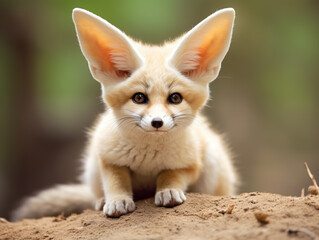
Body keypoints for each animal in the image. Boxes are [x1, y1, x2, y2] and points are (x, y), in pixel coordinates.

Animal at [11, 7, 238, 220]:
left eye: (175, 98)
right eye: (139, 98)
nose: (157, 122)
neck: (148, 158)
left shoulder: (190, 164)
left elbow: (170, 175)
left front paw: (168, 191)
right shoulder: (107, 159)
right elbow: (116, 181)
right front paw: (117, 201)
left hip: (212, 160)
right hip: (91, 168)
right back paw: (101, 200)